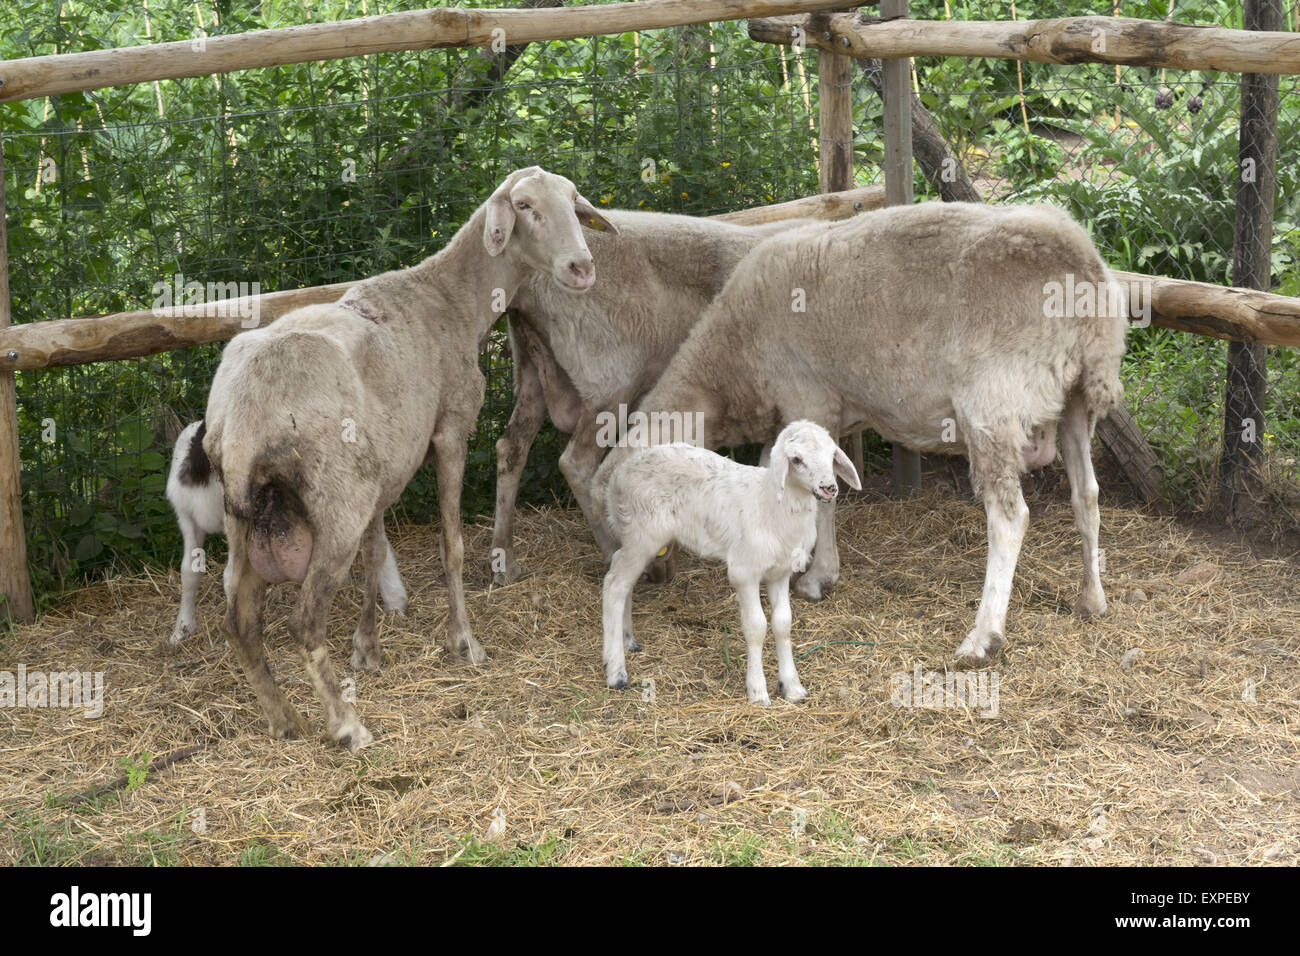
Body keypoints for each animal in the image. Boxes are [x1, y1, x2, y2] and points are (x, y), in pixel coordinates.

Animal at [201, 167, 613, 749]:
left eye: (574, 203)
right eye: (525, 206)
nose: (581, 268)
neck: (451, 299)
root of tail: (242, 414)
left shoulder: (384, 467)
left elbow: (376, 555)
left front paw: (367, 649)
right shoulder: (451, 431)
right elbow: (452, 546)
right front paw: (464, 643)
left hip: (252, 517)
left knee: (240, 621)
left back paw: (284, 720)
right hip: (336, 503)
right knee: (304, 622)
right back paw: (347, 724)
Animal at [488, 210, 821, 582]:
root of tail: (527, 281)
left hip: (531, 366)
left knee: (511, 448)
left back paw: (504, 559)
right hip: (610, 378)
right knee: (576, 463)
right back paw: (613, 551)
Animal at [592, 201, 1128, 665]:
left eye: (623, 512)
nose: (648, 575)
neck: (730, 364)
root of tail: (1080, 258)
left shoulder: (807, 400)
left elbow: (821, 499)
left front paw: (817, 576)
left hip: (993, 401)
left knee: (1010, 517)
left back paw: (983, 635)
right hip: (1075, 402)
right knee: (1087, 494)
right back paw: (1091, 599)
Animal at [600, 421, 863, 707]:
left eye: (832, 454)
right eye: (796, 459)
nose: (829, 488)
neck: (774, 505)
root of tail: (618, 476)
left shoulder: (780, 572)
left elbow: (783, 624)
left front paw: (792, 687)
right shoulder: (744, 572)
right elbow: (757, 626)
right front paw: (758, 692)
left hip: (639, 536)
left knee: (623, 577)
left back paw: (627, 640)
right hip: (644, 531)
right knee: (614, 584)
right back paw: (616, 672)